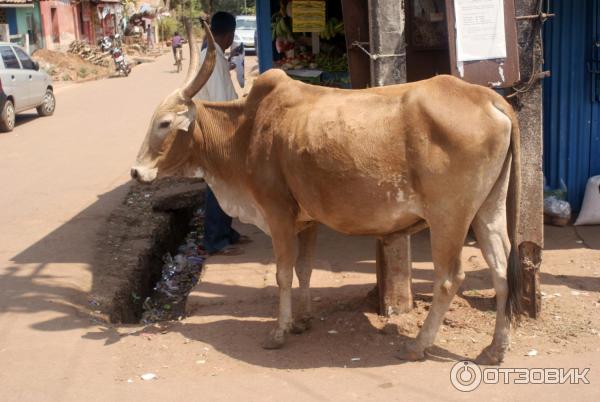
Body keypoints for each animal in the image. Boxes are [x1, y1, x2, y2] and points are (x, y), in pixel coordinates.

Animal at [130, 21, 520, 364]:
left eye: (164, 123)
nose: (136, 172)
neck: (245, 130)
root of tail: (488, 97)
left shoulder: (278, 213)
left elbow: (283, 273)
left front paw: (279, 332)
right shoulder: (308, 220)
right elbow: (305, 270)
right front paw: (302, 320)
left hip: (448, 217)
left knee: (449, 278)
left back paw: (417, 346)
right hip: (487, 208)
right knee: (501, 266)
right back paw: (495, 349)